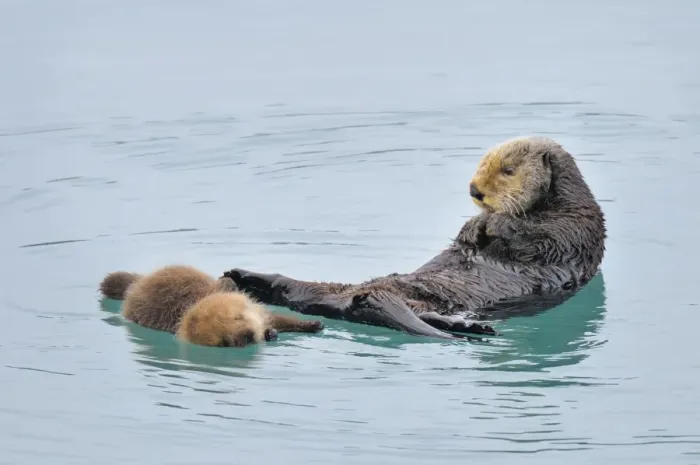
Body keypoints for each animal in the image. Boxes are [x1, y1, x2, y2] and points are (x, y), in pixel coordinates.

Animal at [99, 265, 324, 347]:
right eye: (224, 341)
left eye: (238, 317)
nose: (247, 336)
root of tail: (136, 285)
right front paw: (270, 333)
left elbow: (281, 318)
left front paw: (313, 324)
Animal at [222, 136, 606, 339]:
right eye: (482, 164)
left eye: (508, 170)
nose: (475, 190)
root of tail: (341, 301)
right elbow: (470, 239)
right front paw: (473, 227)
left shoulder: (575, 228)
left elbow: (541, 240)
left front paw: (494, 224)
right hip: (339, 292)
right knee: (297, 291)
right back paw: (246, 276)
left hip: (417, 301)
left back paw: (471, 326)